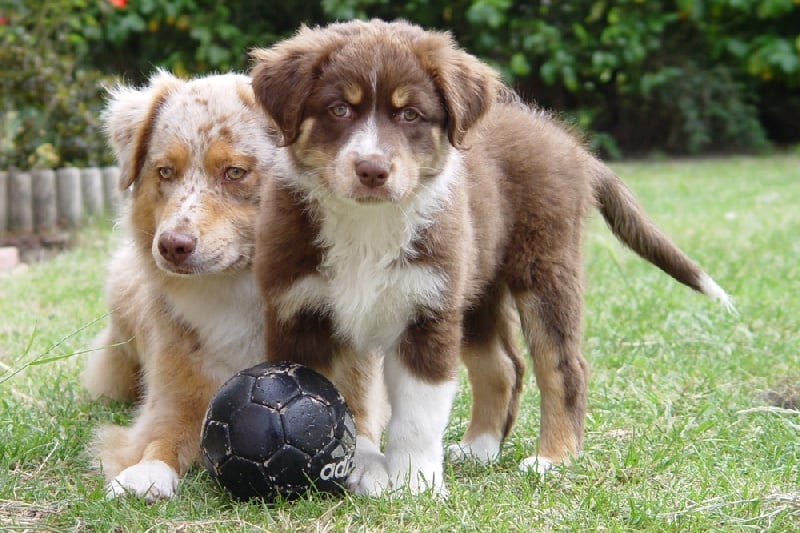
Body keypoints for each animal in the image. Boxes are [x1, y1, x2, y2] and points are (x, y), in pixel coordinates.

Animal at [81, 70, 274, 498]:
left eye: (234, 172)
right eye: (165, 172)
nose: (171, 246)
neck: (233, 291)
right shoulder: (173, 395)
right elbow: (161, 437)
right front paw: (144, 473)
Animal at [250, 19, 732, 494]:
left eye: (410, 114)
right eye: (338, 110)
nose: (372, 170)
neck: (368, 225)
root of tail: (571, 144)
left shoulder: (429, 310)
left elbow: (417, 414)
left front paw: (416, 483)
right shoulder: (300, 310)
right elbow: (342, 398)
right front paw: (365, 466)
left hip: (544, 267)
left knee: (563, 366)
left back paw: (554, 457)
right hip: (477, 283)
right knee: (503, 366)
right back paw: (479, 448)